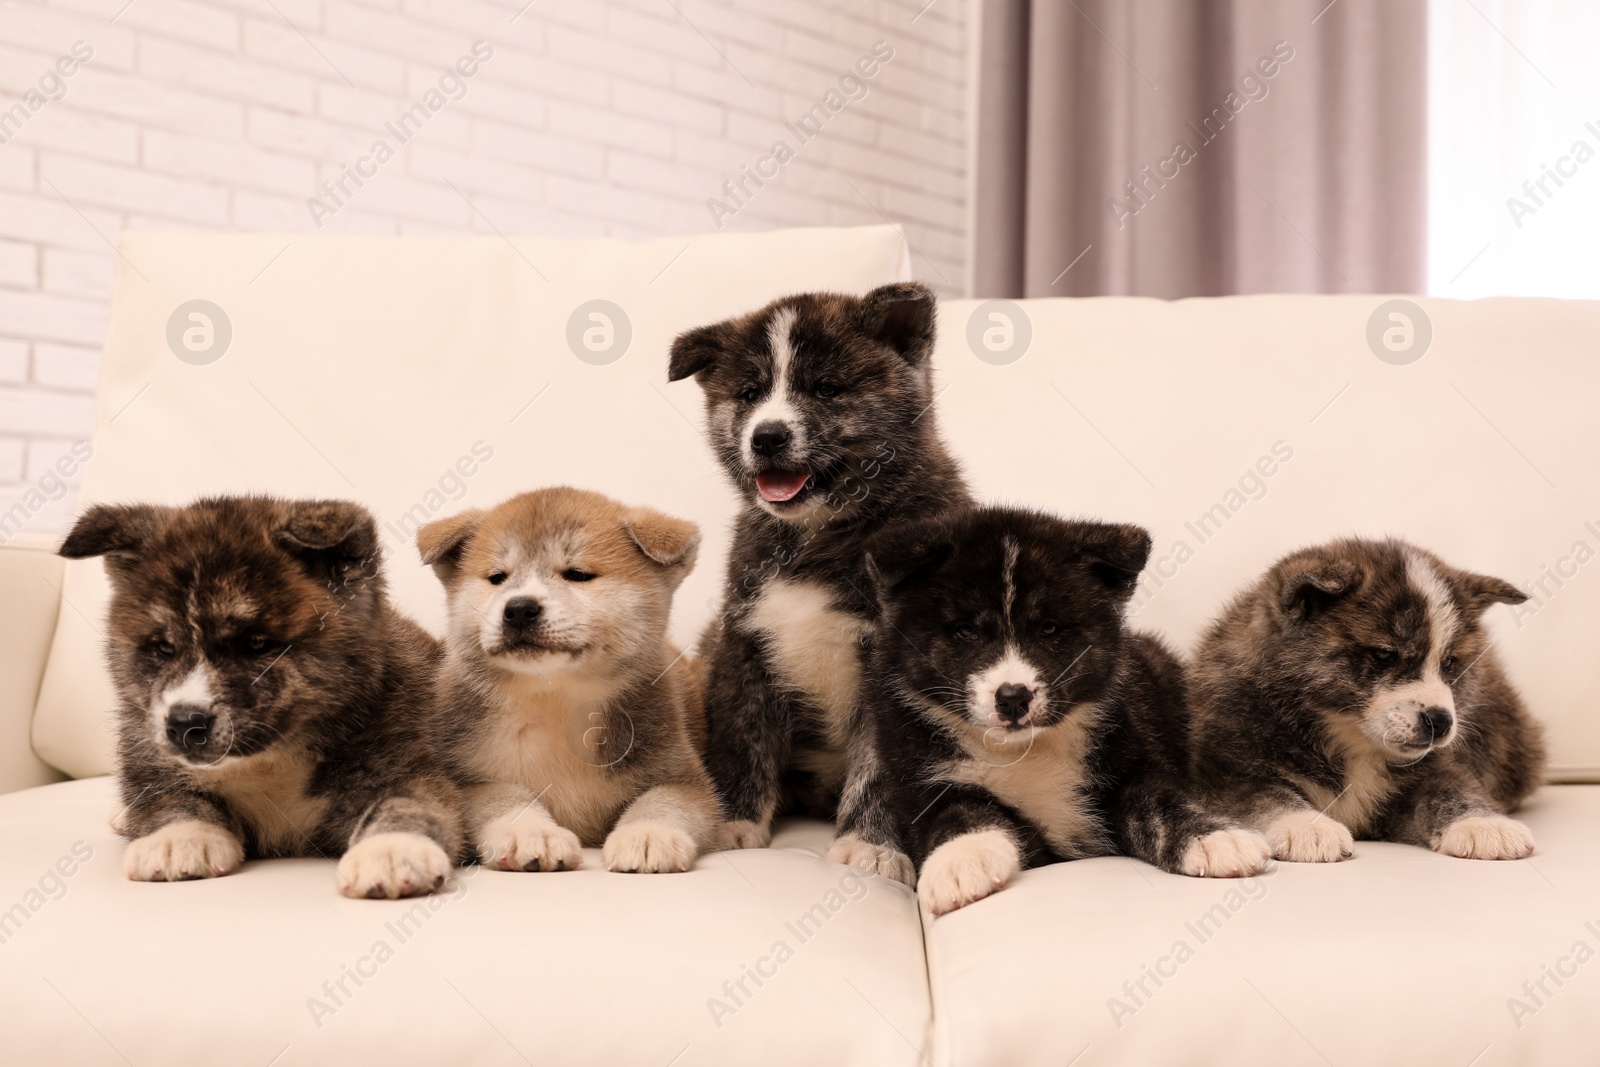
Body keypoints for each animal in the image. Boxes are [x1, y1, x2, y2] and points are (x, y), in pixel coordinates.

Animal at [60, 495, 464, 895]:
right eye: (163, 647)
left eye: (255, 644)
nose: (184, 723)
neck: (270, 760)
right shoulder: (148, 757)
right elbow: (170, 799)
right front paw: (178, 838)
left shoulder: (406, 765)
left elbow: (406, 804)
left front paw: (392, 849)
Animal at [668, 283, 966, 876]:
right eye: (751, 393)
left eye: (826, 389)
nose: (767, 437)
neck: (819, 538)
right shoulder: (744, 640)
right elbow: (741, 737)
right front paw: (732, 821)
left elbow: (880, 767)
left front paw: (872, 844)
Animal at [857, 508, 1267, 921]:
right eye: (965, 631)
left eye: (1050, 628)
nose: (1013, 697)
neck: (1024, 750)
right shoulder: (923, 782)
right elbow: (960, 813)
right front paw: (961, 861)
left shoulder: (1132, 759)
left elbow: (1161, 803)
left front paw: (1215, 838)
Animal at [1190, 537, 1548, 863]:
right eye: (1384, 654)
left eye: (1449, 662)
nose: (1441, 721)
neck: (1351, 742)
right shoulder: (1231, 771)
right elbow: (1267, 797)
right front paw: (1307, 826)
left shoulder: (1433, 770)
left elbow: (1449, 791)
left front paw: (1482, 823)